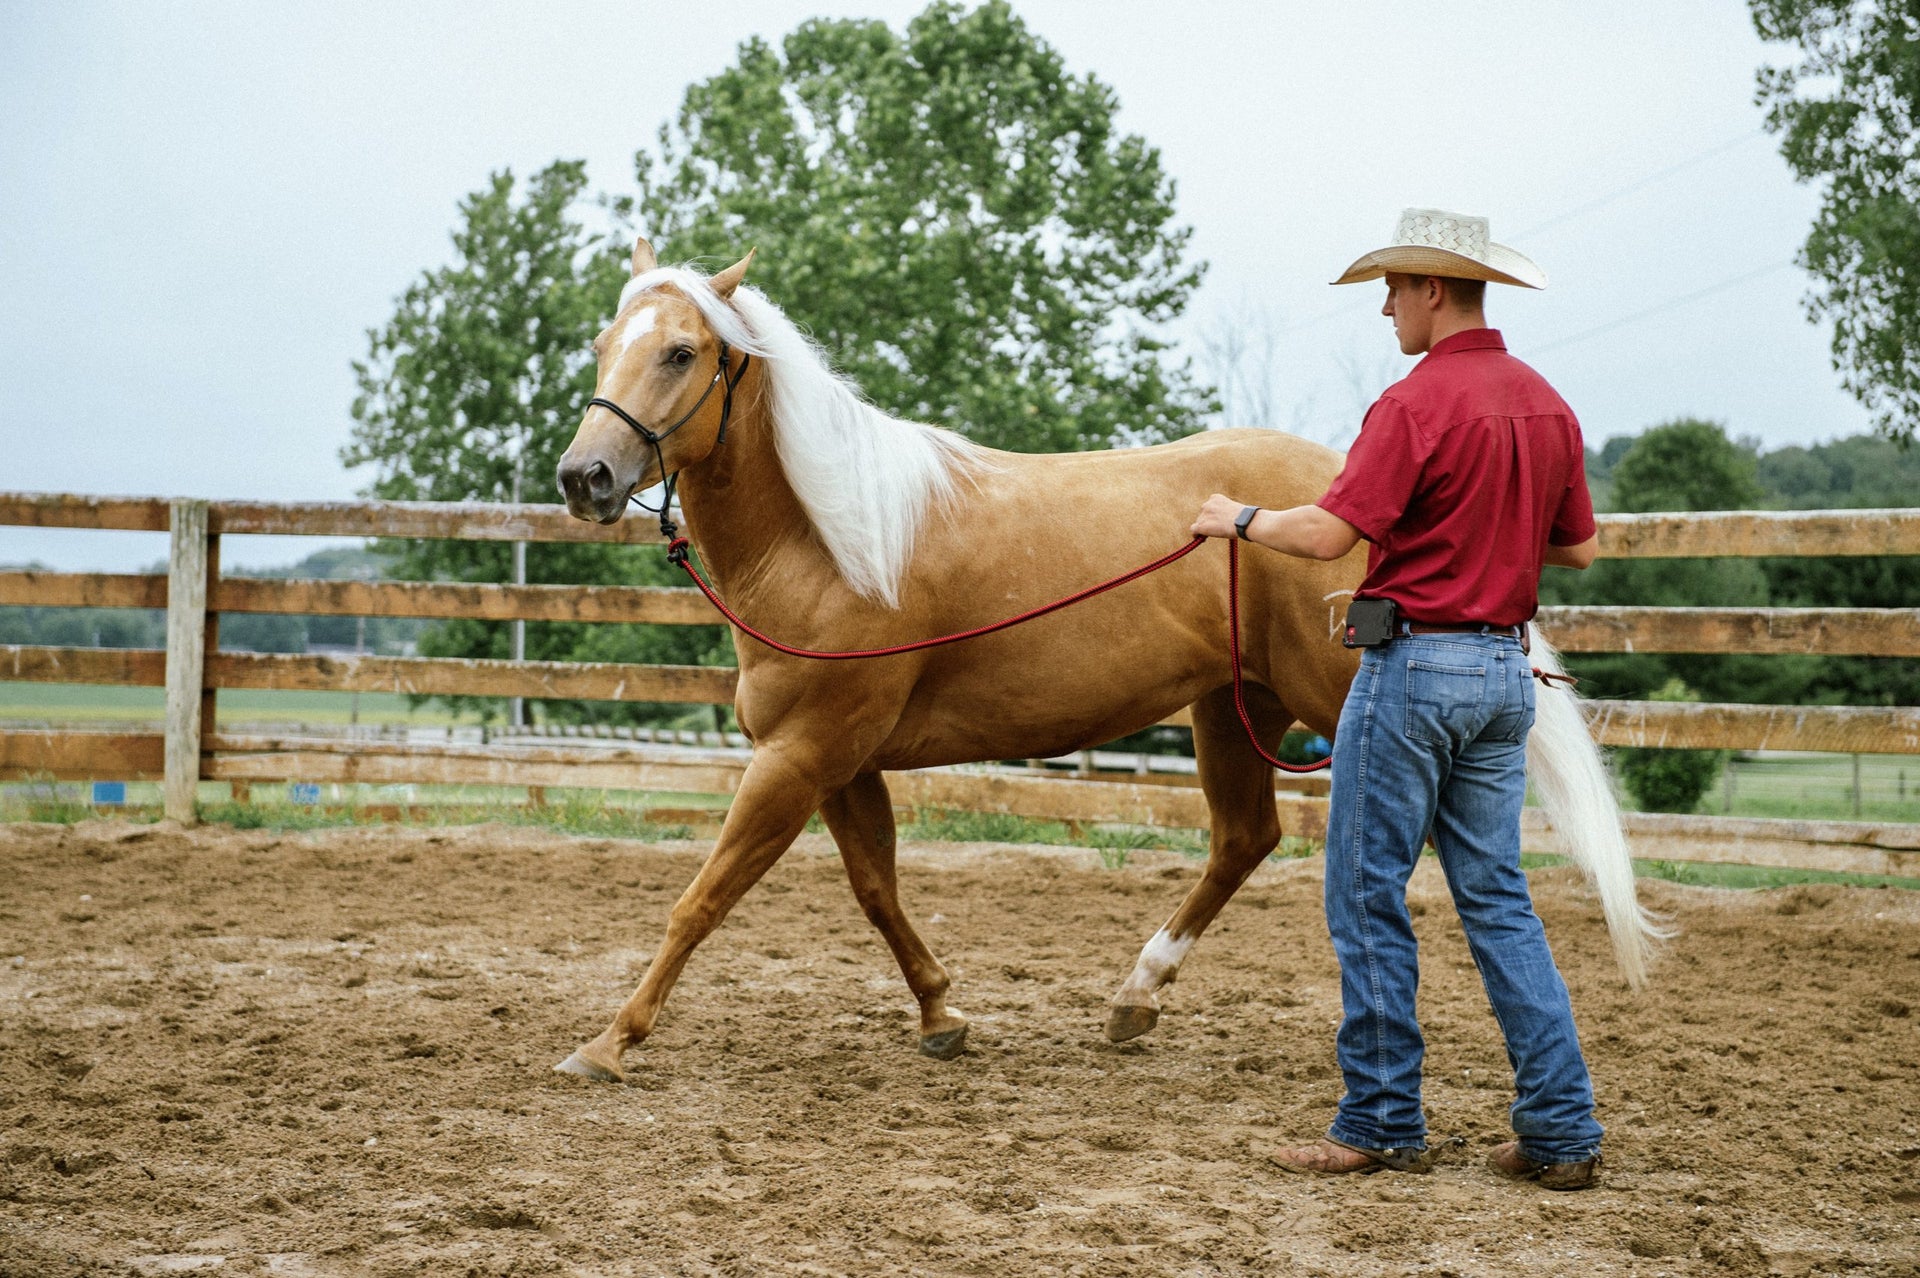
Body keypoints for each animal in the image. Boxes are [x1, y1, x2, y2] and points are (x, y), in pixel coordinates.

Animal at [549, 239, 1658, 1083]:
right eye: (604, 345)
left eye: (682, 352)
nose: (584, 476)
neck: (834, 539)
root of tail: (1345, 484)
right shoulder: (839, 763)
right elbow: (877, 891)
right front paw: (942, 1016)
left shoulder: (799, 755)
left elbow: (701, 898)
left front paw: (608, 1043)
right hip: (1233, 711)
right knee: (1247, 840)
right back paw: (1137, 997)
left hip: (1331, 705)